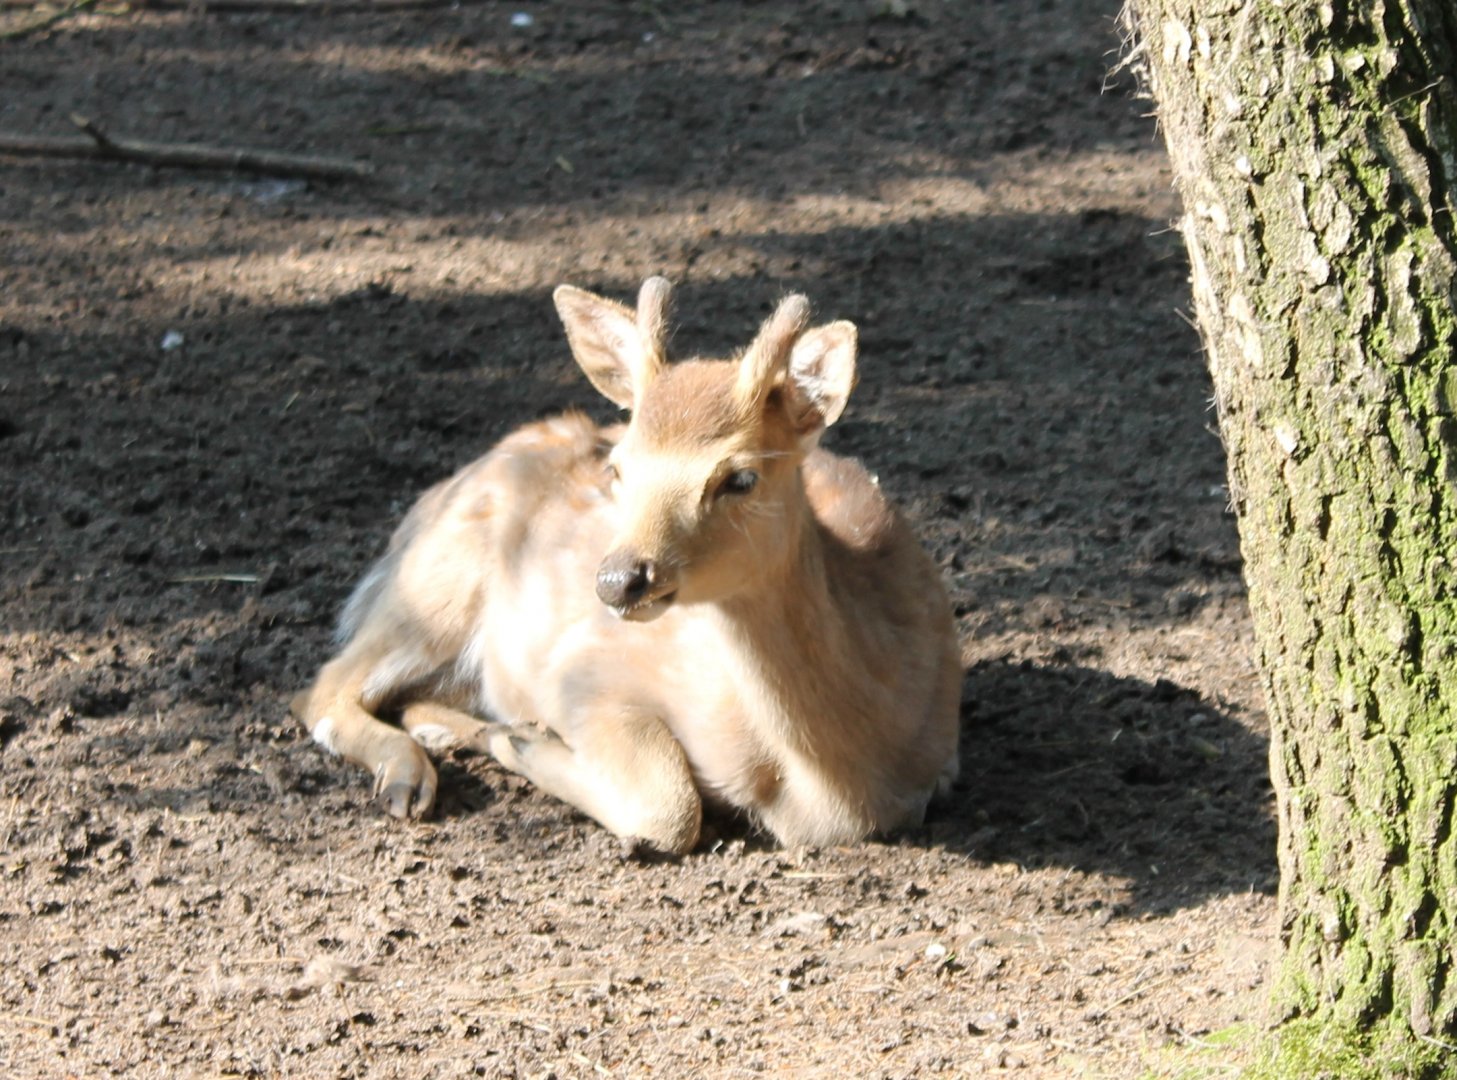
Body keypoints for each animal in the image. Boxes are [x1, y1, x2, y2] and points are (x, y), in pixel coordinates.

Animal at [291, 277, 961, 853]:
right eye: (618, 466)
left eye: (741, 477)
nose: (617, 581)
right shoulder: (583, 669)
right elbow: (669, 807)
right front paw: (522, 740)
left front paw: (512, 735)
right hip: (432, 591)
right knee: (323, 687)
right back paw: (411, 777)